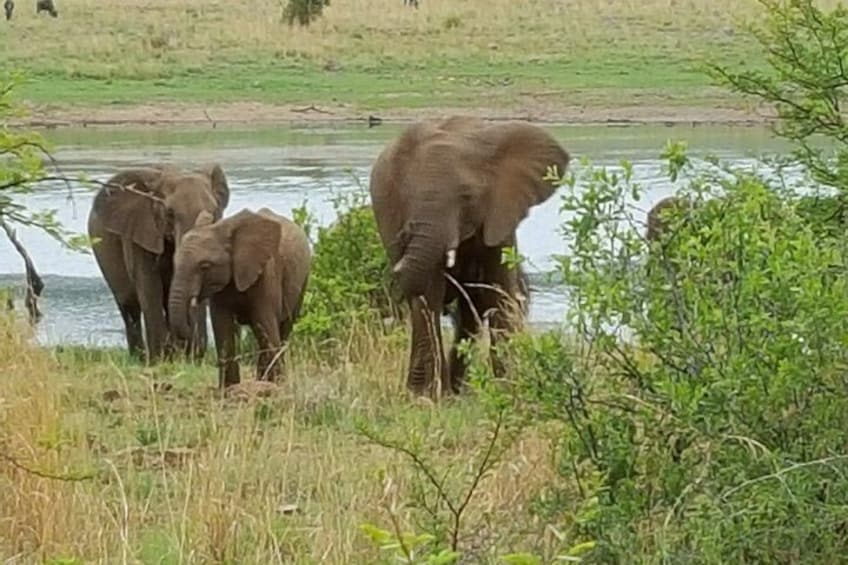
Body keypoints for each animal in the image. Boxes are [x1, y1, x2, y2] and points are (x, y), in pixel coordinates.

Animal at [88, 164, 230, 362]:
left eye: (215, 212)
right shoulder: (139, 232)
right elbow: (149, 286)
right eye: (169, 213)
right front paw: (160, 360)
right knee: (129, 306)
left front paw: (190, 359)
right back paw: (141, 359)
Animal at [168, 208, 312, 388]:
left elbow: (265, 325)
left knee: (283, 329)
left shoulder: (266, 274)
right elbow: (222, 328)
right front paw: (228, 389)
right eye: (174, 262)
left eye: (205, 266)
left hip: (303, 281)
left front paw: (275, 387)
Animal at [369, 116, 570, 397]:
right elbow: (430, 295)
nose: (403, 238)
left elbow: (498, 293)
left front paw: (508, 392)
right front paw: (427, 397)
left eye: (467, 196)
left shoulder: (500, 215)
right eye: (406, 196)